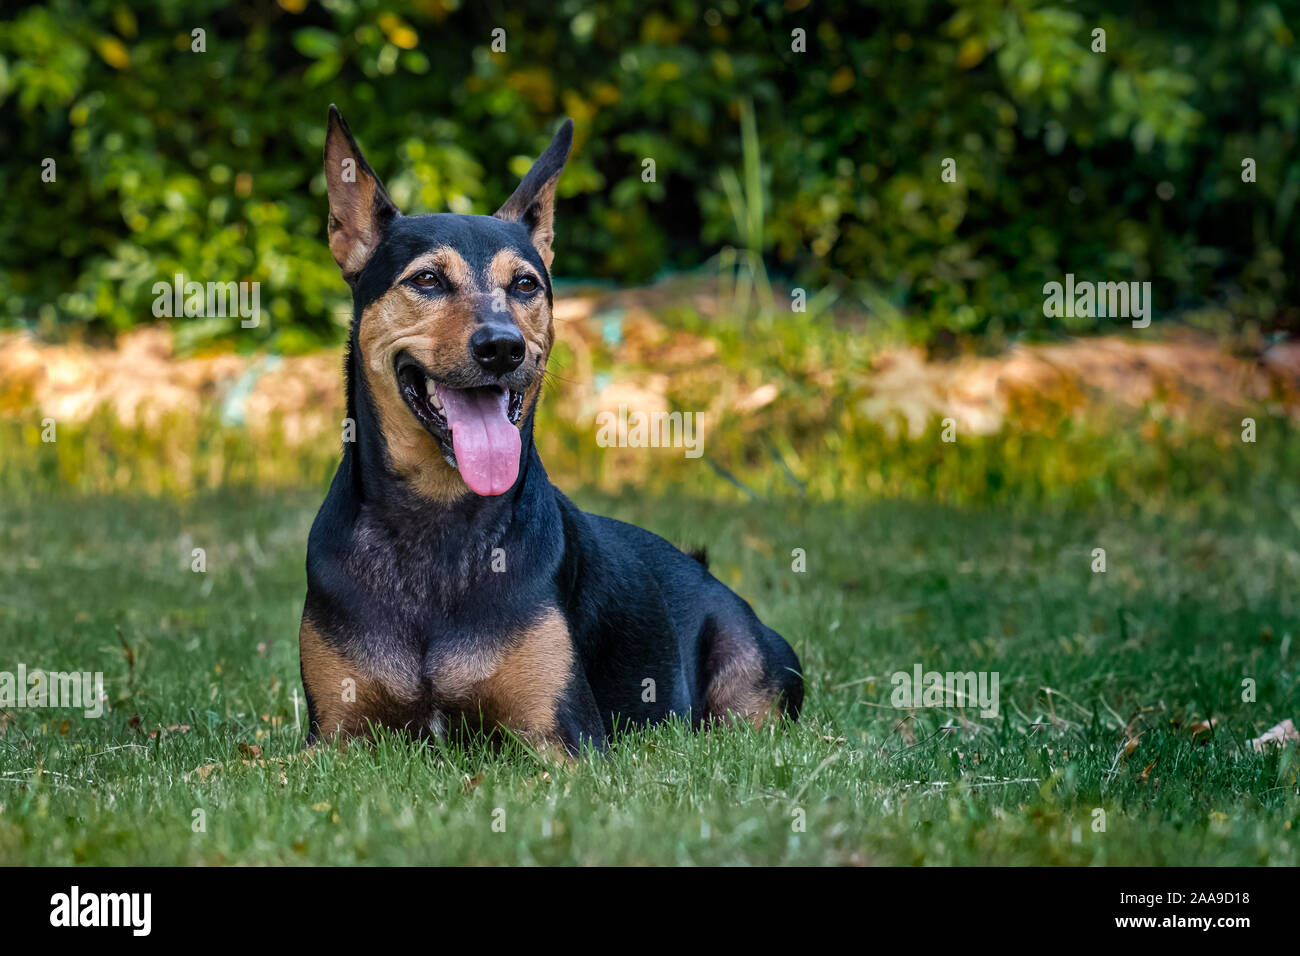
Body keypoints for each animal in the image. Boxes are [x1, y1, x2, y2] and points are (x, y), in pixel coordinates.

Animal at [299, 106, 800, 754]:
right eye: (427, 281)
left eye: (525, 285)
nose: (502, 347)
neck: (438, 518)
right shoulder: (333, 740)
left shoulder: (561, 736)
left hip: (750, 674)